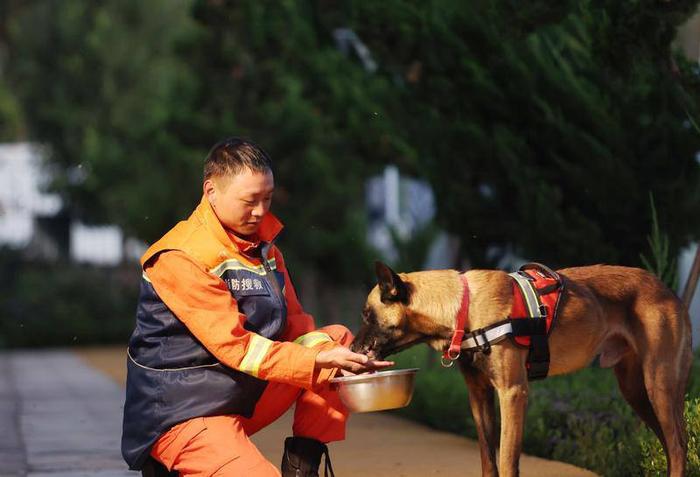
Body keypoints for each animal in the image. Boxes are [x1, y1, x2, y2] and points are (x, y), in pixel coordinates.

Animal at [352, 262, 692, 474]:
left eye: (367, 315)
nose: (353, 349)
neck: (464, 308)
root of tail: (669, 291)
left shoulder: (513, 393)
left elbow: (506, 459)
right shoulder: (480, 395)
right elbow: (488, 459)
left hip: (658, 384)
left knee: (677, 447)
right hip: (636, 391)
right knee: (672, 445)